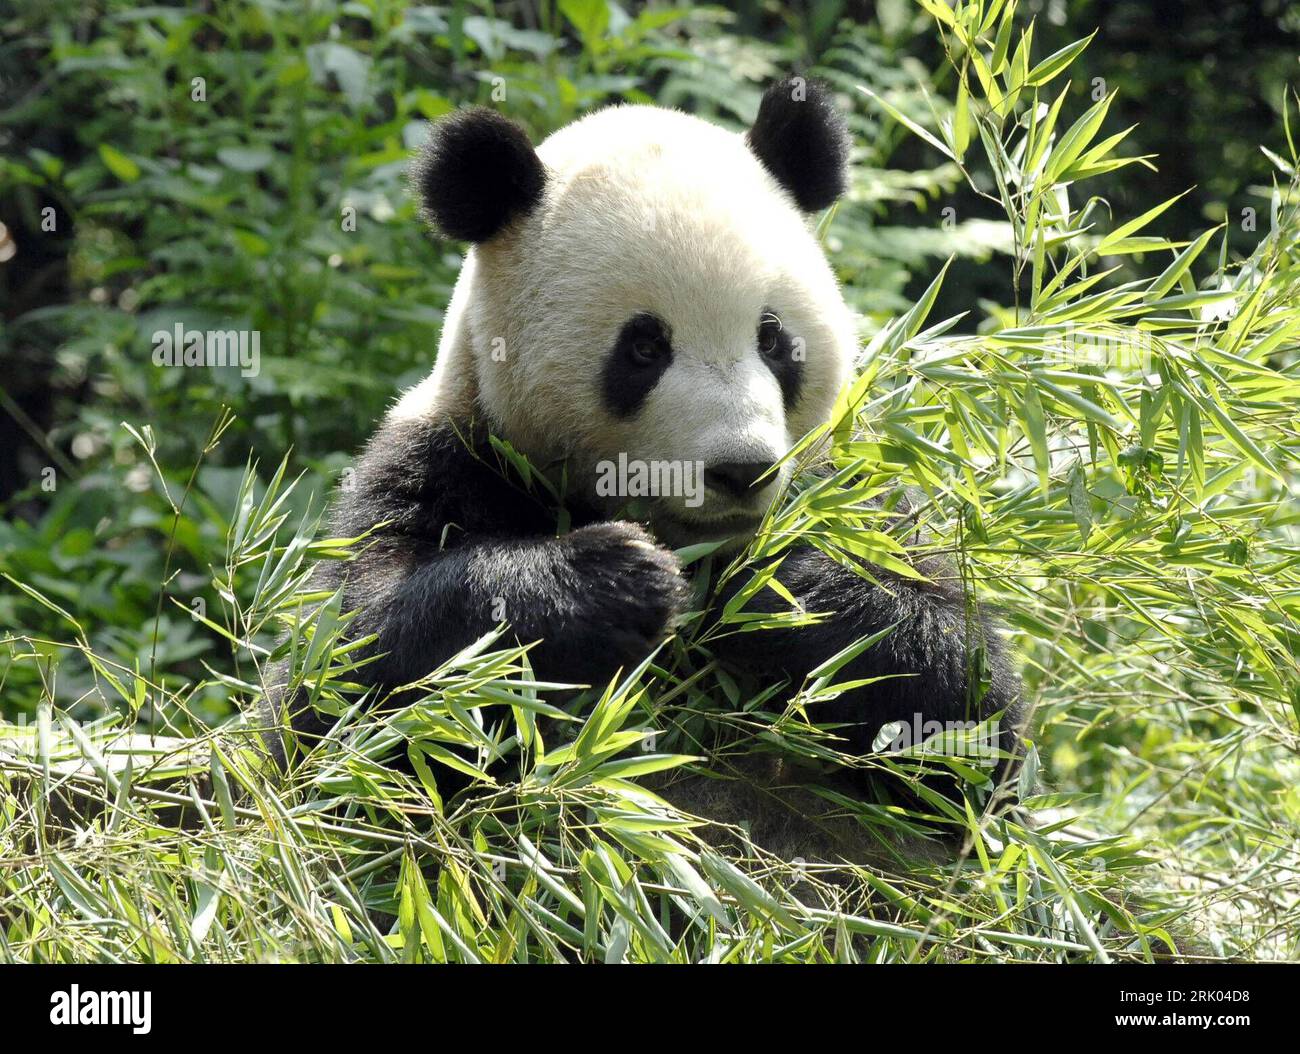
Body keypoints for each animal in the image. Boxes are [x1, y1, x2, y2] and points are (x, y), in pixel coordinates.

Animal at [265, 79, 1023, 853]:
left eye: (773, 338)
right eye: (644, 348)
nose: (742, 470)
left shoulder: (855, 490)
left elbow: (964, 719)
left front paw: (782, 586)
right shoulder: (447, 461)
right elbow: (350, 691)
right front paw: (610, 582)